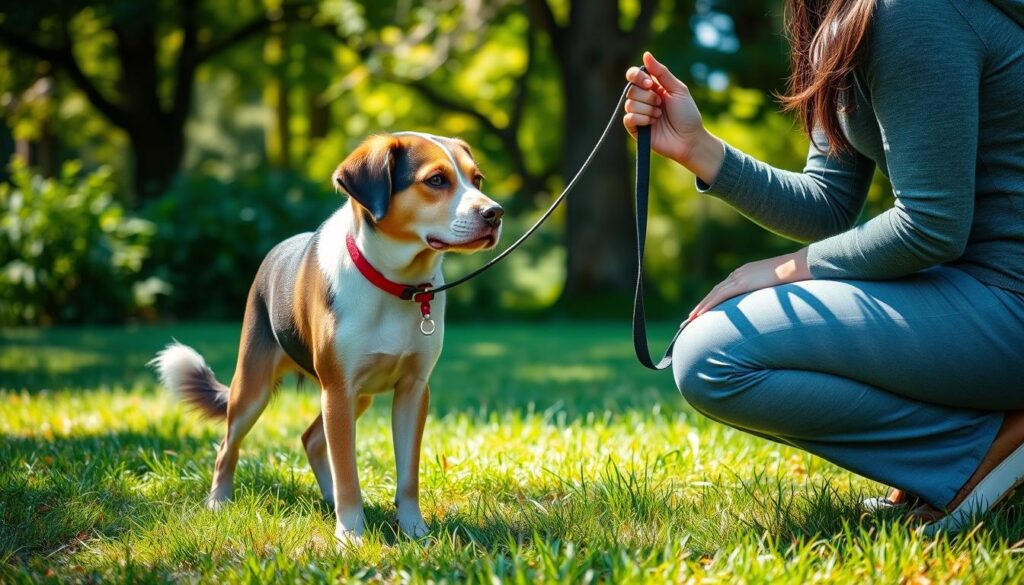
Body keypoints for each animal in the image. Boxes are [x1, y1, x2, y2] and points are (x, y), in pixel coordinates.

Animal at [149, 131, 501, 545]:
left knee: (312, 439)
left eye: (477, 180)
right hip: (254, 390)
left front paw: (415, 531)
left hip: (358, 397)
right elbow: (348, 473)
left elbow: (407, 476)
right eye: (436, 180)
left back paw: (329, 498)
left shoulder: (413, 391)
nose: (495, 213)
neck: (397, 285)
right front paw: (350, 536)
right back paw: (219, 501)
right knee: (228, 446)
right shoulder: (338, 391)